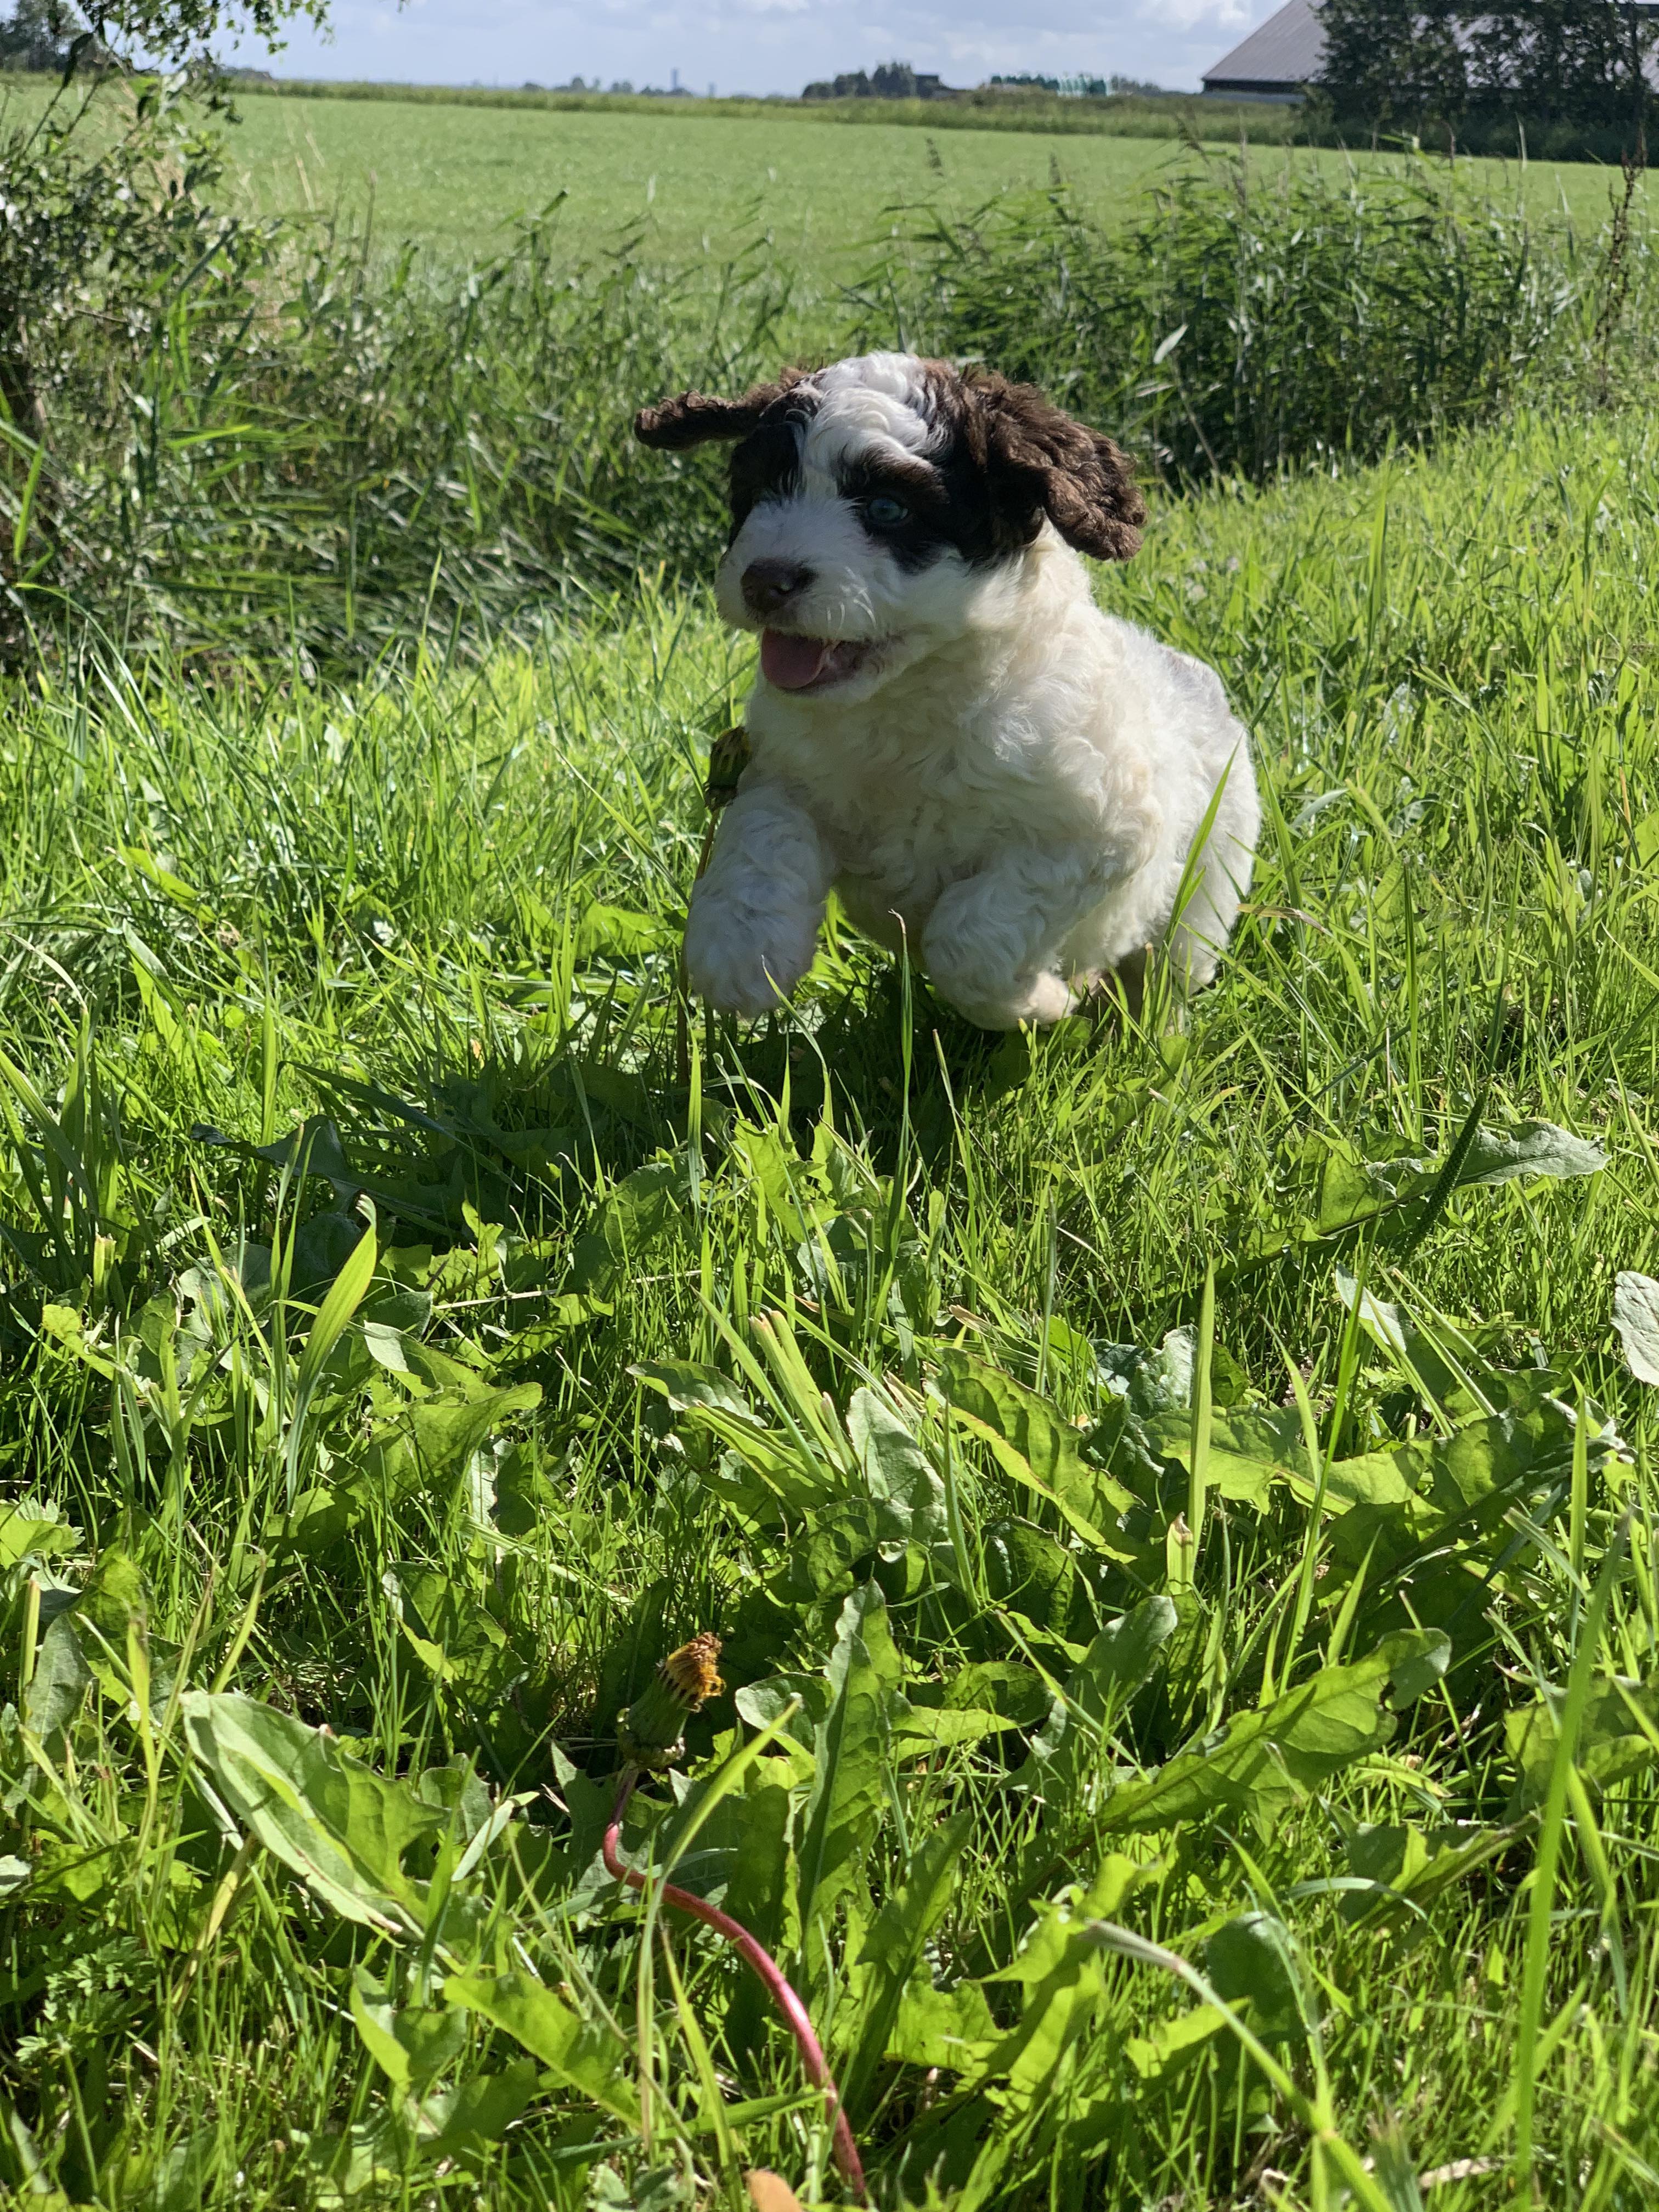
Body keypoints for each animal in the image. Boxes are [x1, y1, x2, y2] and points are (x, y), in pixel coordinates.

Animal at [637, 352, 1256, 1026]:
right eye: (755, 494)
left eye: (888, 509)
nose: (764, 581)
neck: (910, 699)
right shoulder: (782, 772)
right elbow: (763, 837)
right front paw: (742, 951)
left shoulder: (1097, 832)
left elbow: (971, 943)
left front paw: (1041, 1002)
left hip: (1209, 878)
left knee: (1168, 968)